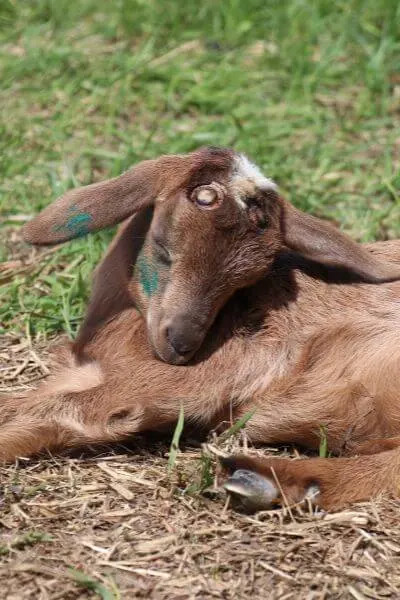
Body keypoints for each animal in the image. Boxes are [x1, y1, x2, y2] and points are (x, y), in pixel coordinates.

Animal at [3, 146, 400, 510]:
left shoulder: (187, 380)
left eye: (245, 281)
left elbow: (60, 410)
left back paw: (264, 479)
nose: (183, 344)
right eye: (161, 246)